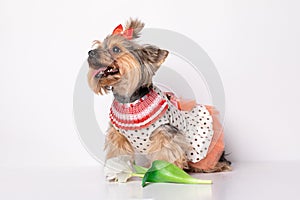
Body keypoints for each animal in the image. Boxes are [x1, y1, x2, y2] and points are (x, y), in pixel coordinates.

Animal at [88, 18, 231, 172]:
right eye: (98, 46)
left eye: (116, 49)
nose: (90, 52)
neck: (130, 101)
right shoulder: (118, 135)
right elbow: (118, 153)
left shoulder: (164, 134)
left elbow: (165, 153)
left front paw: (163, 172)